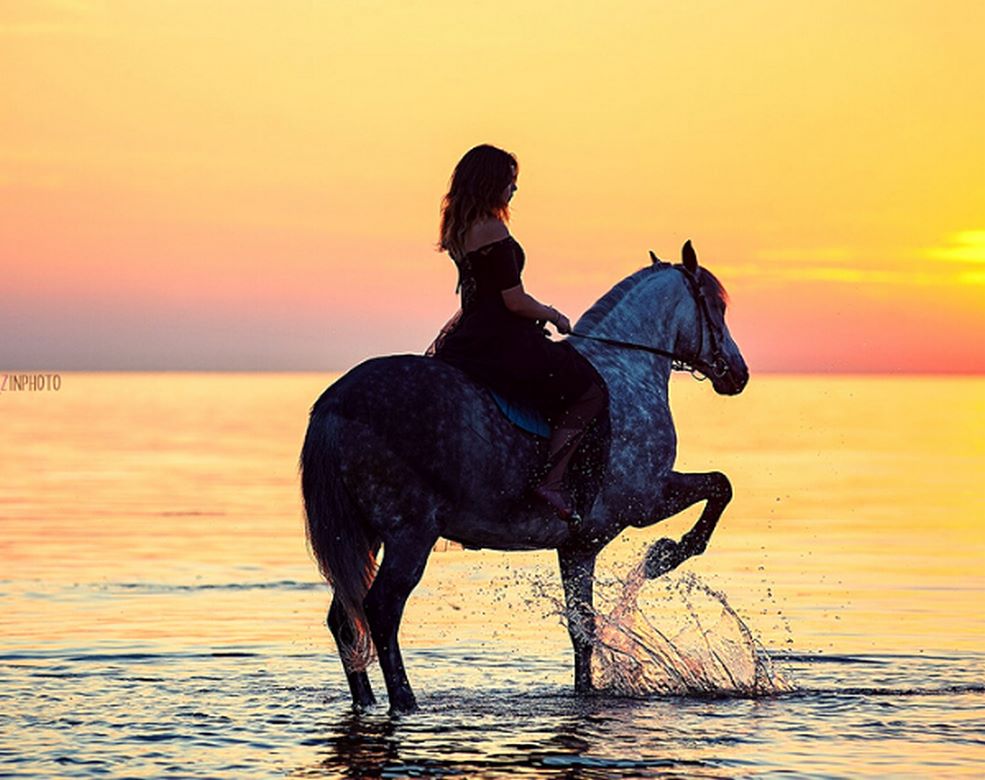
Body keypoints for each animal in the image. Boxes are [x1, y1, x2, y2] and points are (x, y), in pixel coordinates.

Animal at [300, 240, 748, 714]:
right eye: (718, 305)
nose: (738, 373)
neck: (627, 370)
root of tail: (336, 402)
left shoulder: (579, 544)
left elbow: (581, 628)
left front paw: (585, 691)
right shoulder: (643, 500)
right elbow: (720, 485)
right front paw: (667, 555)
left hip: (365, 533)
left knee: (344, 617)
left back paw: (365, 701)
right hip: (410, 534)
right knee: (381, 610)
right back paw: (405, 701)